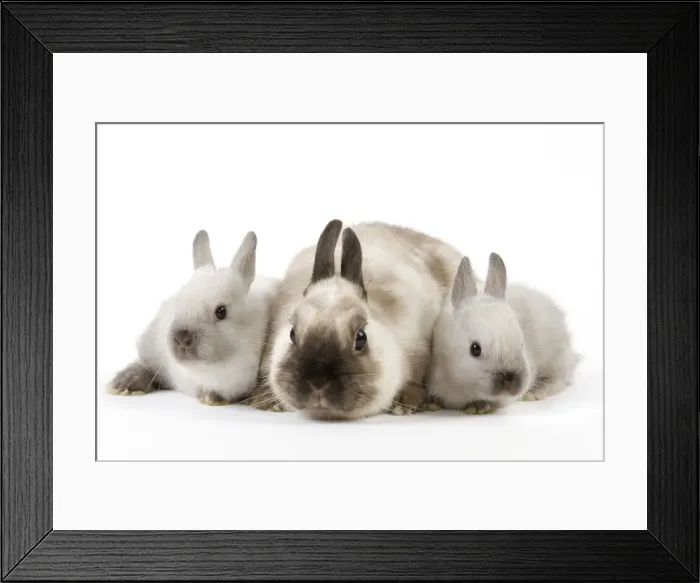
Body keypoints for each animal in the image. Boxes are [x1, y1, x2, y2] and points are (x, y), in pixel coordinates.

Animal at [250, 219, 463, 420]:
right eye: (292, 334)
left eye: (361, 337)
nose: (318, 383)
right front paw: (268, 402)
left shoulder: (419, 348)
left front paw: (403, 404)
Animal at [428, 252, 579, 415]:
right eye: (475, 349)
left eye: (521, 344)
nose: (510, 381)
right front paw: (432, 404)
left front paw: (479, 407)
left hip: (557, 359)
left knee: (560, 379)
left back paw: (536, 393)